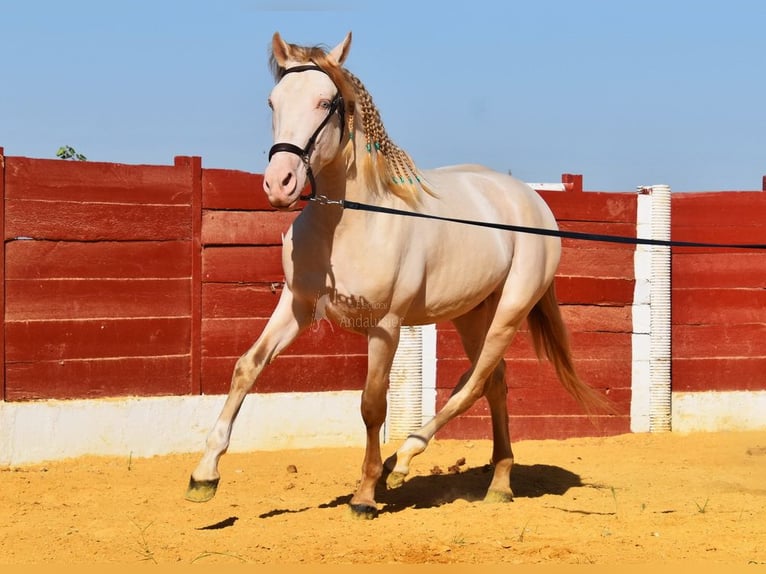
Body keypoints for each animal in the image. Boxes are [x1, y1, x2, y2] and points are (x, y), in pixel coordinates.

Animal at [185, 31, 609, 518]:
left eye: (325, 101)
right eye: (273, 101)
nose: (280, 183)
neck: (350, 222)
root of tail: (531, 200)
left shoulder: (385, 327)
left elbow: (373, 405)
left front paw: (366, 495)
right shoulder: (297, 306)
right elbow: (247, 367)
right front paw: (204, 474)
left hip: (511, 310)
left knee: (476, 383)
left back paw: (403, 459)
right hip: (472, 314)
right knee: (494, 383)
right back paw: (499, 483)